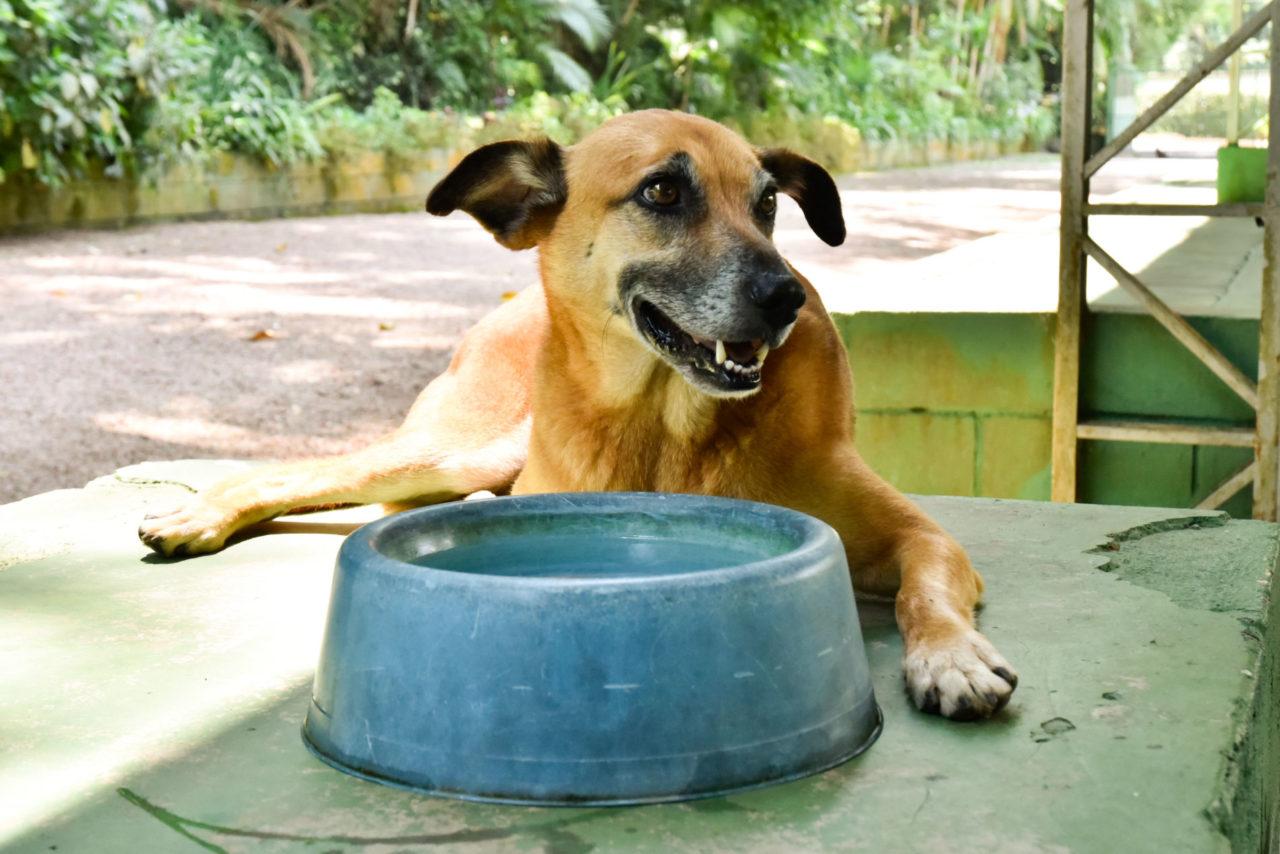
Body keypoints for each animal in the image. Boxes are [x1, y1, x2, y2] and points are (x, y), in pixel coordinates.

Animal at [137, 110, 1018, 717]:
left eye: (769, 204)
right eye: (662, 190)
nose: (787, 297)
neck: (663, 424)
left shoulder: (920, 537)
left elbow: (924, 590)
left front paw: (951, 657)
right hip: (450, 448)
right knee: (296, 473)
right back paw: (197, 514)